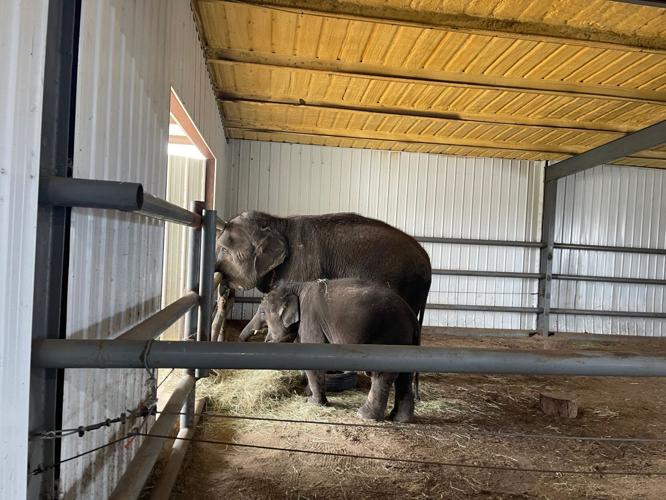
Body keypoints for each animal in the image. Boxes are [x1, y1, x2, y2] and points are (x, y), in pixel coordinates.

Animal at [258, 278, 417, 422]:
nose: (266, 341)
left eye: (263, 313)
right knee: (405, 376)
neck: (298, 286)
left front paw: (313, 402)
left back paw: (364, 416)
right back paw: (400, 418)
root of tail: (412, 316)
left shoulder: (310, 319)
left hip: (389, 335)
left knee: (381, 375)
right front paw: (308, 394)